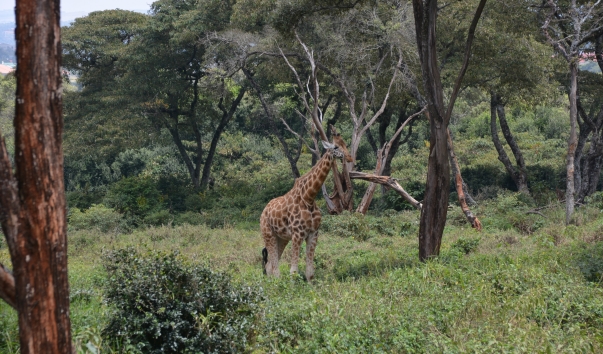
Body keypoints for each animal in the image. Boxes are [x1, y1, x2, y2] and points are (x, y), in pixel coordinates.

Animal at [262, 140, 346, 280]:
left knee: (269, 265)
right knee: (272, 266)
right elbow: (293, 271)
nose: (344, 155)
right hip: (268, 233)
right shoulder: (297, 234)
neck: (309, 198)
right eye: (335, 147)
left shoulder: (313, 233)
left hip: (282, 237)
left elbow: (310, 272)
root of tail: (264, 210)